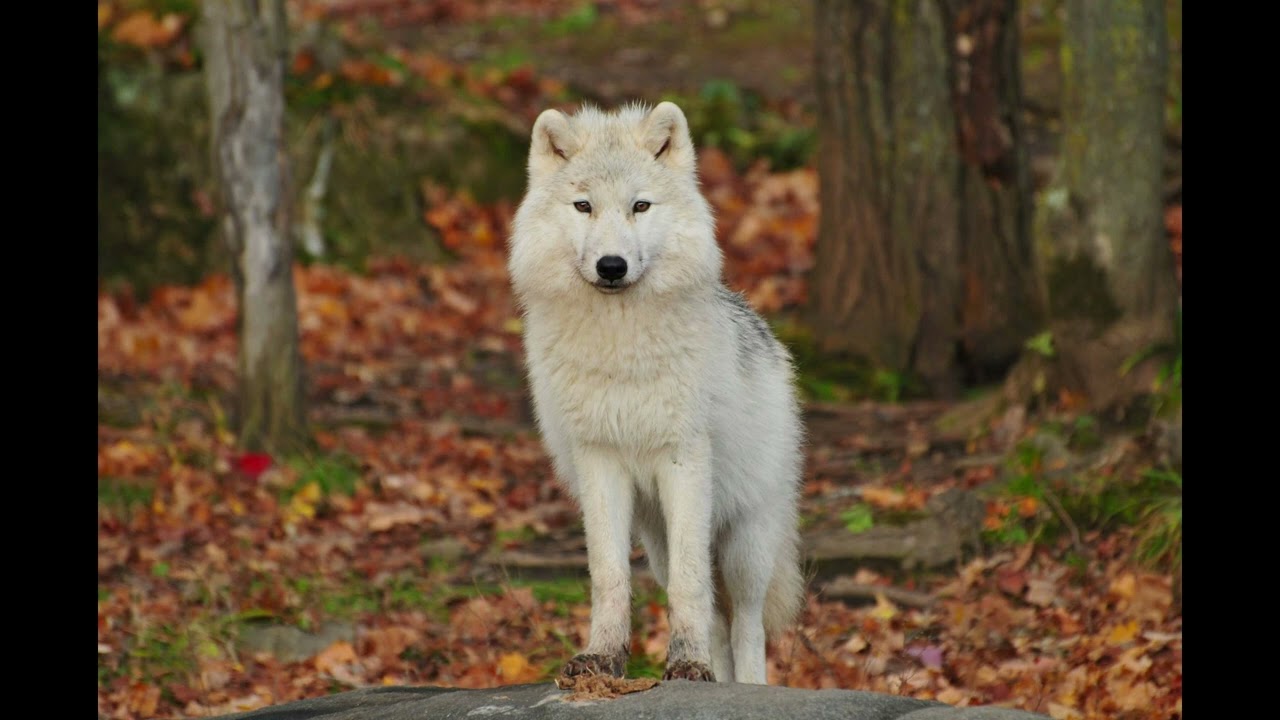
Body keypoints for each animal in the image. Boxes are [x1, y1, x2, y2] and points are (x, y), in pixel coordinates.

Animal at [507, 101, 805, 684]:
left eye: (640, 206)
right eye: (584, 206)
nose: (612, 266)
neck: (621, 349)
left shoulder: (682, 458)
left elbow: (692, 586)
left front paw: (685, 663)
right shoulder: (599, 460)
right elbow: (609, 576)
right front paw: (603, 658)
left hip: (745, 542)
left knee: (747, 623)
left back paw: (746, 686)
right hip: (657, 539)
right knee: (716, 620)